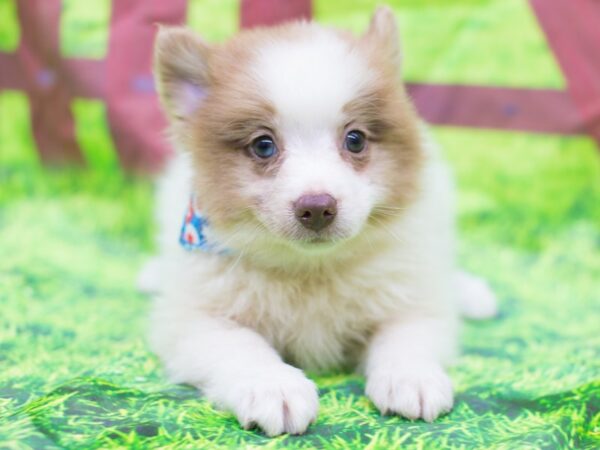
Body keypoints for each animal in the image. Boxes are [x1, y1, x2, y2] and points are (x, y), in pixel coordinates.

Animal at [144, 6, 496, 436]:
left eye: (355, 140)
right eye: (264, 146)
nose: (316, 207)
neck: (311, 270)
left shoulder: (414, 299)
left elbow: (404, 336)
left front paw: (410, 377)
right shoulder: (193, 319)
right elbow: (241, 346)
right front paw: (272, 387)